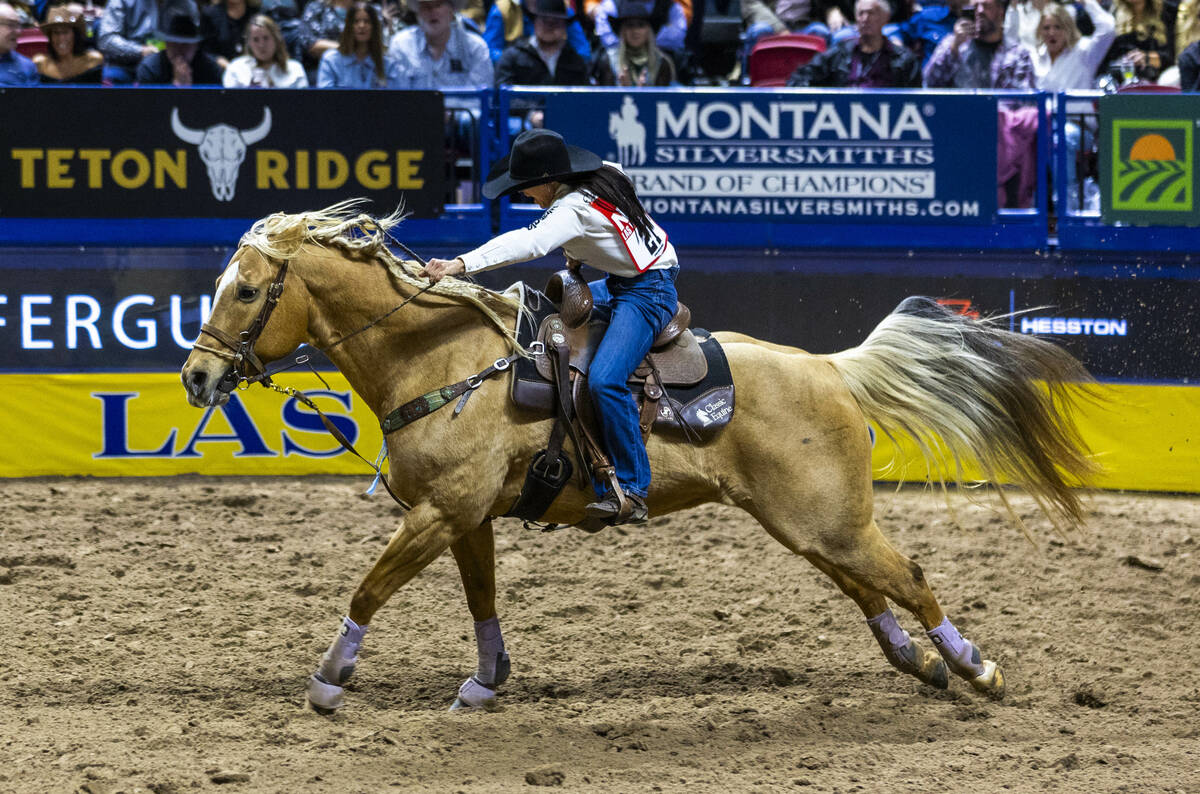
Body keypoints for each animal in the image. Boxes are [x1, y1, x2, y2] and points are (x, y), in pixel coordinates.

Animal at [175, 203, 1099, 714]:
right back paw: (920, 662)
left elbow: (367, 589)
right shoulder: (463, 517)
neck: (440, 361)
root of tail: (830, 367)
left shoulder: (442, 513)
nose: (197, 376)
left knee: (904, 574)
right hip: (806, 522)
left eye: (248, 290)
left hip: (828, 518)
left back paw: (976, 669)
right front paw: (486, 682)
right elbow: (482, 600)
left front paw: (330, 680)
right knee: (864, 584)